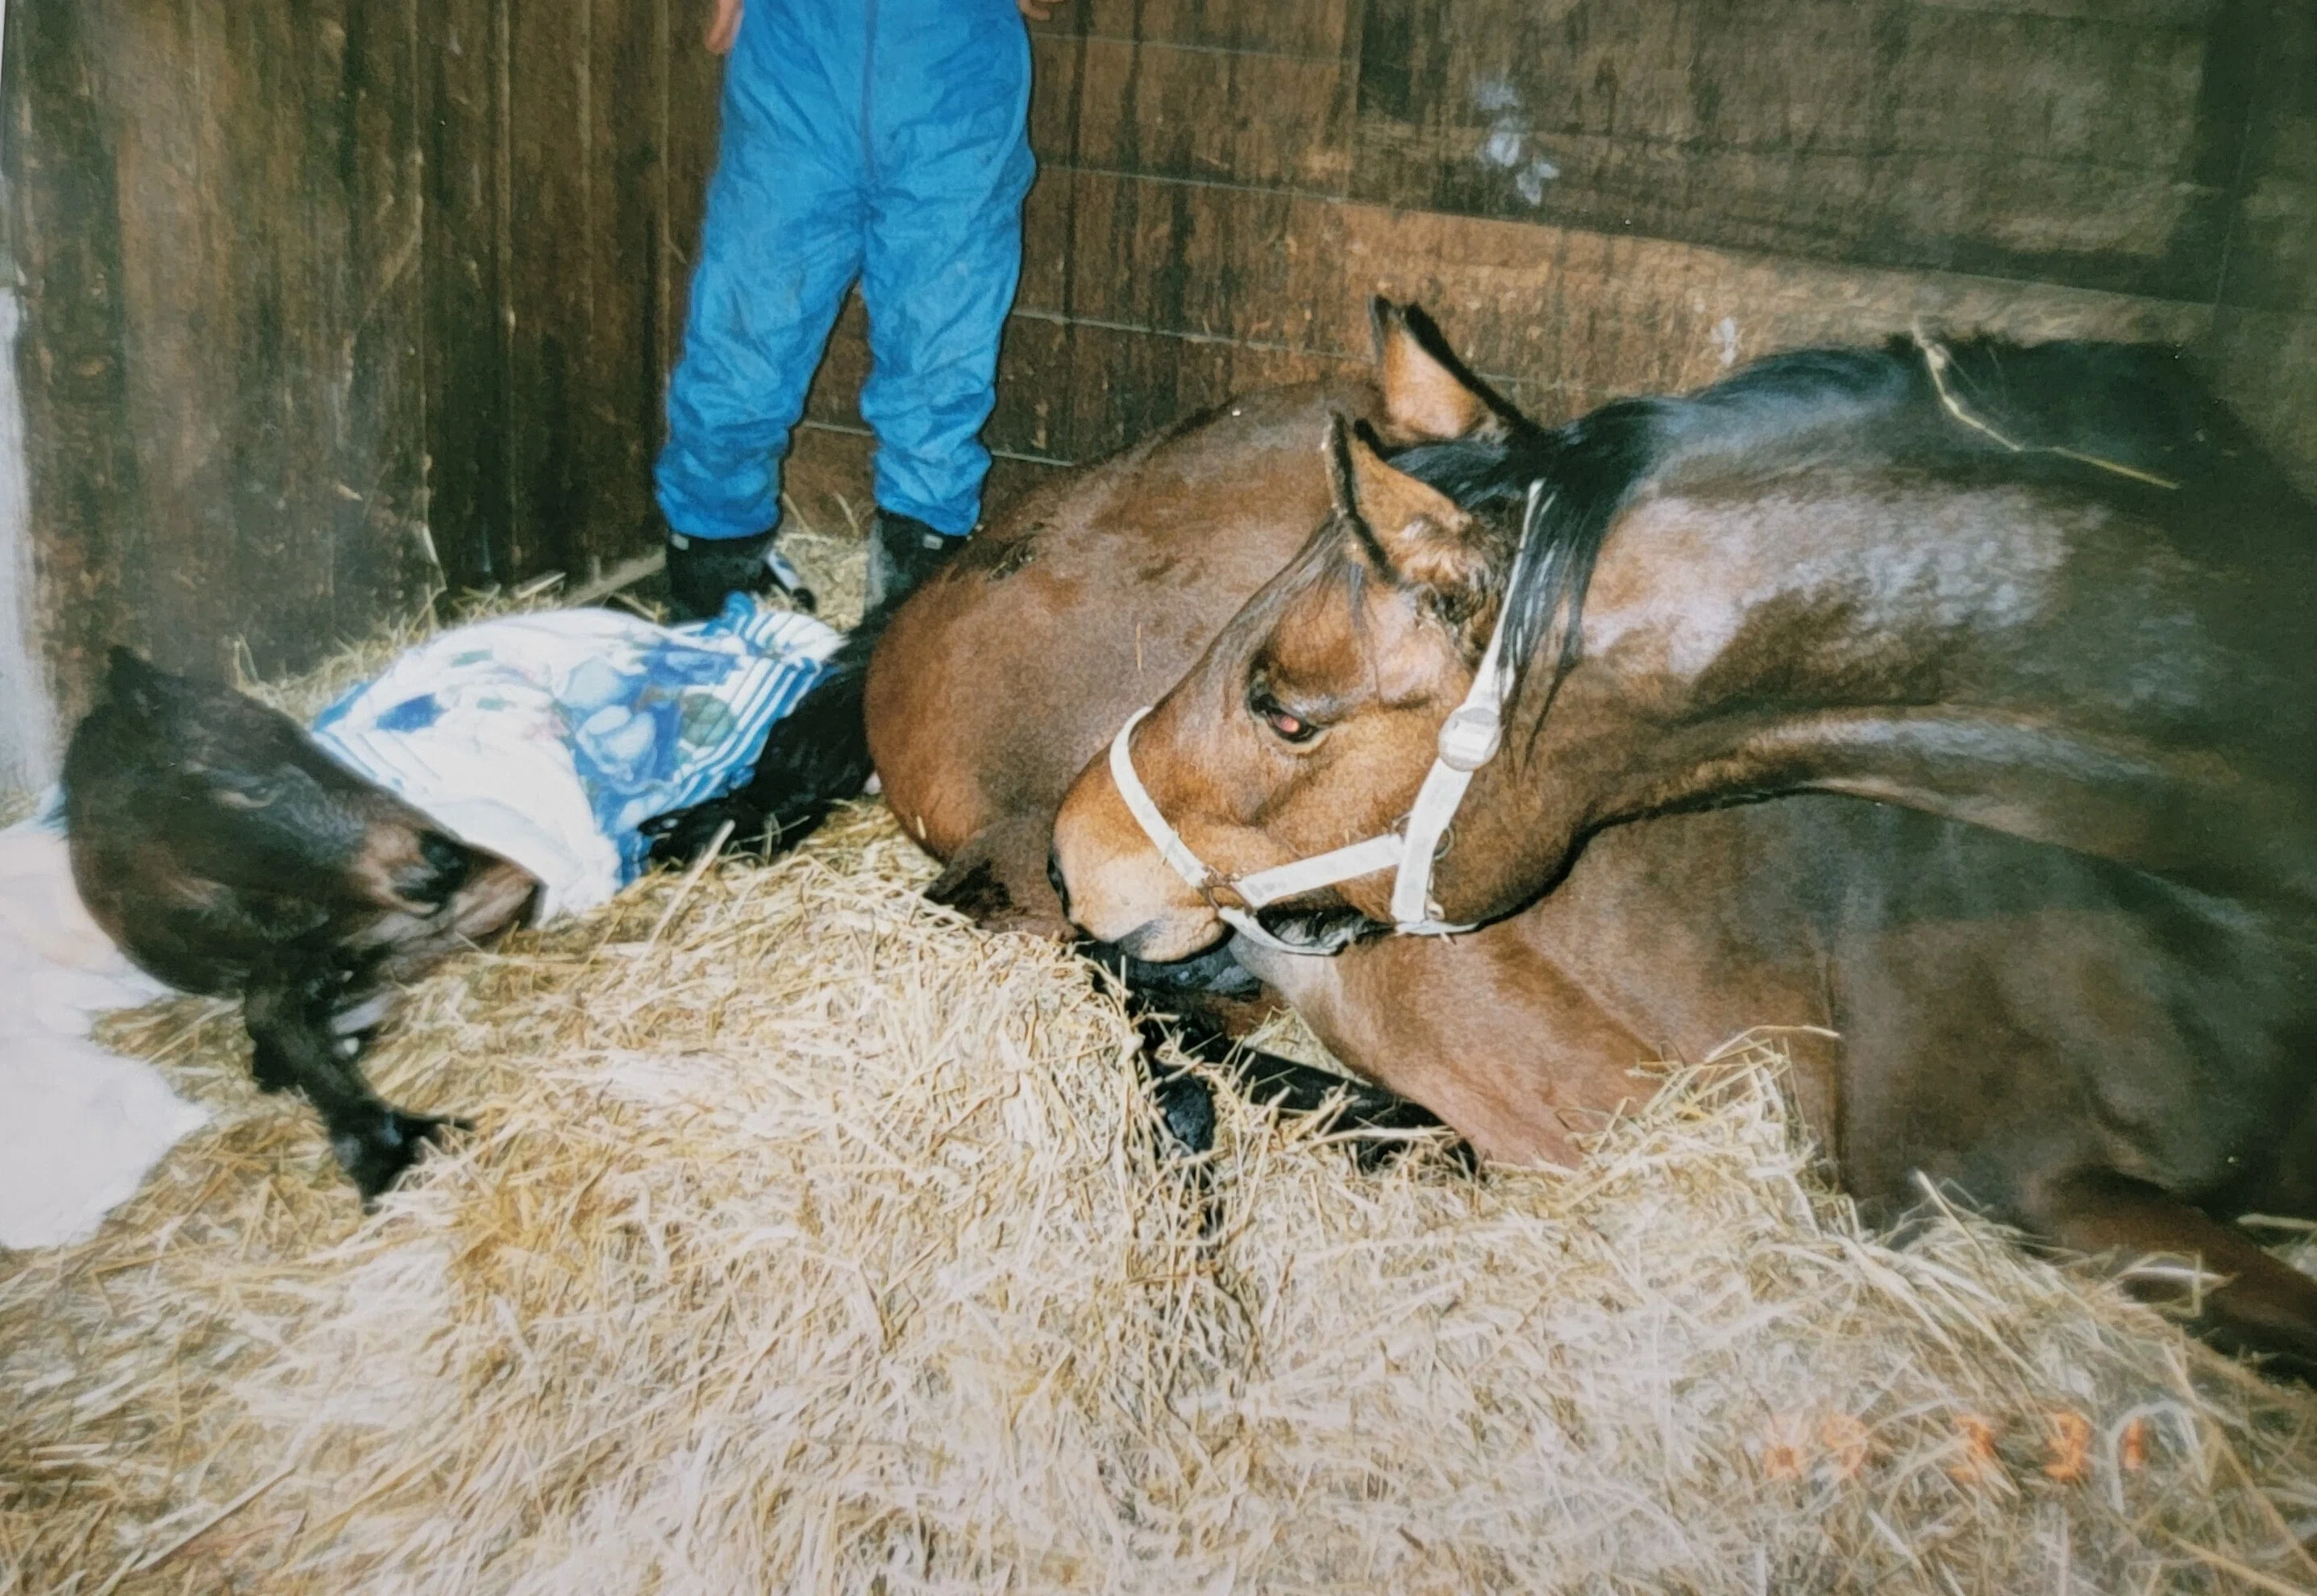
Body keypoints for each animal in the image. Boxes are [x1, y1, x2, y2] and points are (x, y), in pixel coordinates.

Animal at [64, 649, 539, 1200]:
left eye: (304, 741)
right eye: (254, 788)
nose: (444, 857)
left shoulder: (495, 881)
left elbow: (278, 992)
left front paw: (388, 1142)